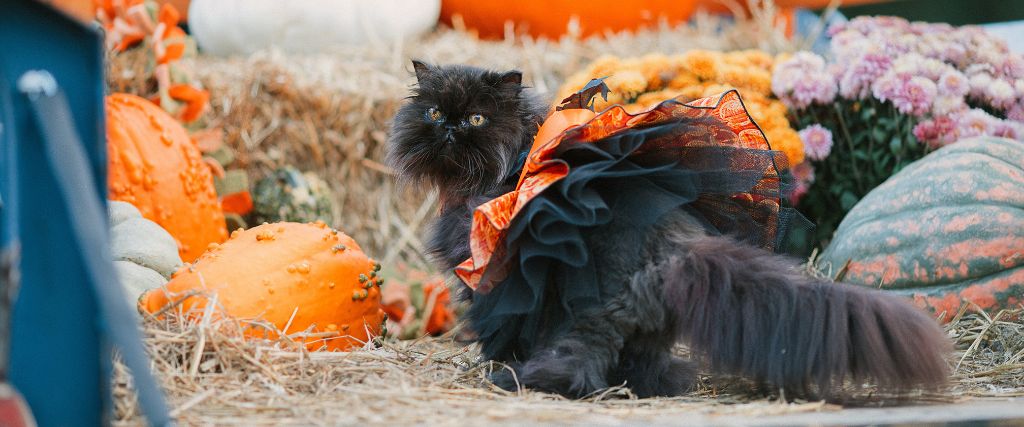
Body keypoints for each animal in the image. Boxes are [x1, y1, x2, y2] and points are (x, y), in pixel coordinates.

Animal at [385, 59, 950, 399]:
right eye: (433, 112)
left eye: (477, 120)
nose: (448, 127)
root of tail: (676, 248)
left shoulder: (489, 276)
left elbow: (495, 329)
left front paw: (490, 366)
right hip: (642, 326)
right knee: (648, 365)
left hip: (588, 313)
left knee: (579, 360)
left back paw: (531, 381)